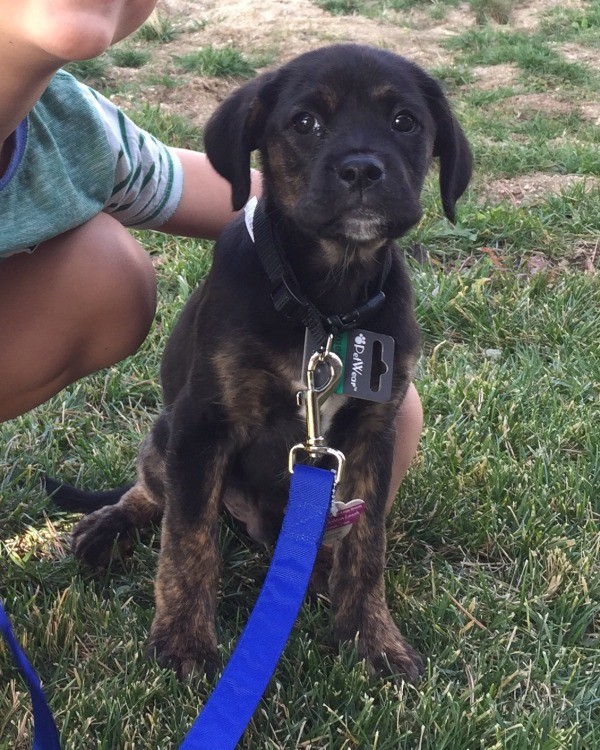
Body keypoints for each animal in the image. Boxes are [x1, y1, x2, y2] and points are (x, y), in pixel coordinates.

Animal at [50, 44, 474, 684]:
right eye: (305, 123)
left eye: (406, 122)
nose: (361, 171)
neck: (324, 307)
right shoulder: (204, 425)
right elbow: (188, 541)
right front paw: (183, 642)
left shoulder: (373, 435)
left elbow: (366, 546)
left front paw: (373, 640)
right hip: (166, 433)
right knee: (151, 494)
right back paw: (108, 527)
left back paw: (313, 574)